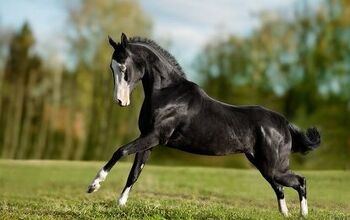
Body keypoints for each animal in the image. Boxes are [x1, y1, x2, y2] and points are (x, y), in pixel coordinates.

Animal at [87, 32, 320, 217]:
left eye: (124, 68)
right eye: (112, 67)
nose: (120, 101)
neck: (167, 93)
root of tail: (284, 123)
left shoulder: (155, 136)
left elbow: (120, 151)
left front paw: (94, 185)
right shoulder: (149, 141)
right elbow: (134, 173)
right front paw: (120, 204)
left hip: (274, 166)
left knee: (300, 181)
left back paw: (303, 214)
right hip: (263, 165)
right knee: (280, 188)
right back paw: (285, 214)